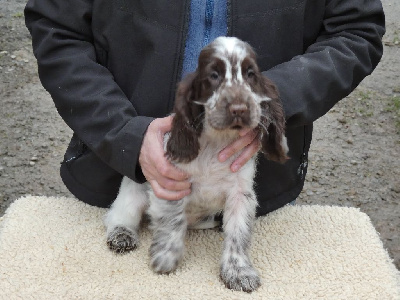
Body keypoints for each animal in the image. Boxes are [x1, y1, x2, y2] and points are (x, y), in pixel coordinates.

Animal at [104, 36, 290, 292]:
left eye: (250, 74)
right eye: (214, 75)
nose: (239, 109)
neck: (216, 142)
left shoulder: (240, 194)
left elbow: (238, 233)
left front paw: (239, 272)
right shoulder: (171, 184)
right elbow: (172, 221)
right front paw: (166, 257)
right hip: (133, 190)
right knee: (120, 213)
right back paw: (122, 235)